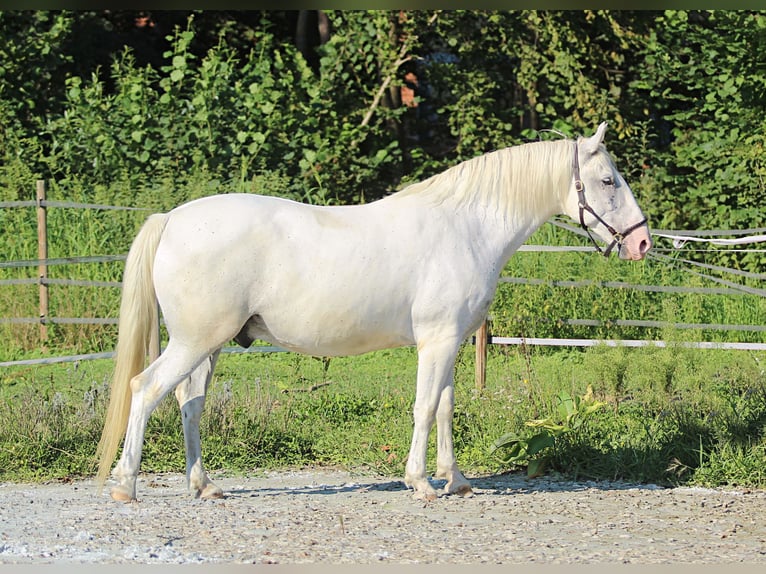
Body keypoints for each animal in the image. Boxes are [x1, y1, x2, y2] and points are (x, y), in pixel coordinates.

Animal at [94, 121, 648, 504]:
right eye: (607, 181)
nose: (641, 241)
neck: (466, 226)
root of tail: (172, 218)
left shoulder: (449, 342)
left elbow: (445, 408)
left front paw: (456, 480)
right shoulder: (436, 341)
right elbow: (424, 407)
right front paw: (420, 483)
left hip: (209, 345)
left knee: (189, 403)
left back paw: (204, 485)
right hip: (194, 342)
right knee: (145, 389)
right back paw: (126, 484)